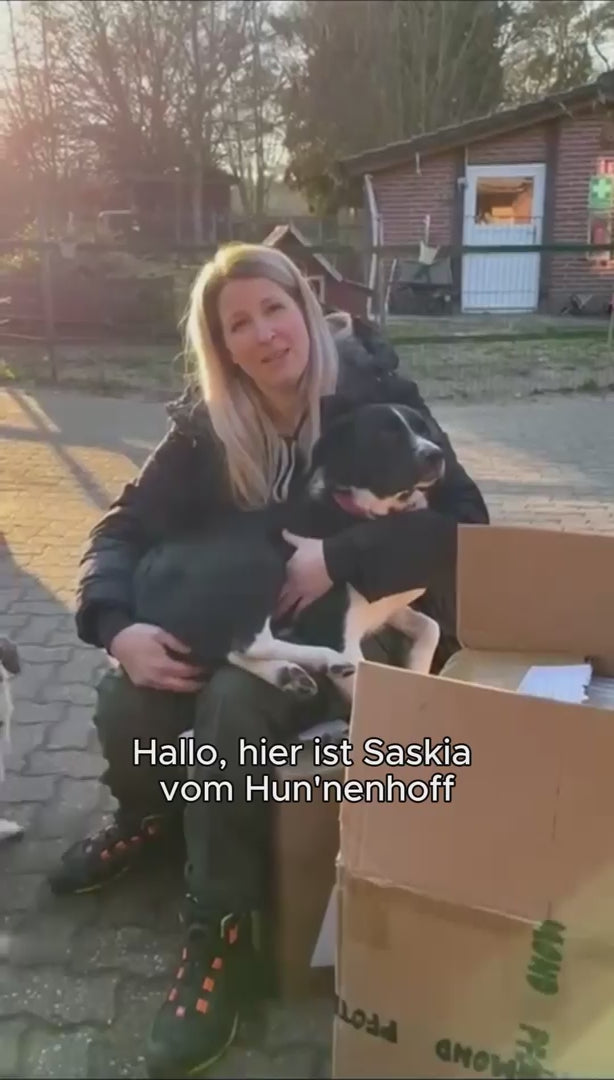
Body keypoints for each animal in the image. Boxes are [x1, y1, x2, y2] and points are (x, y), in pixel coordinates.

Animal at [133, 402, 445, 702]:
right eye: (386, 434)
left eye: (424, 429)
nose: (437, 455)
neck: (367, 513)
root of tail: (146, 571)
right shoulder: (337, 632)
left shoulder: (385, 609)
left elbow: (431, 627)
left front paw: (418, 669)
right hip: (260, 561)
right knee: (250, 642)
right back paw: (324, 660)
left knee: (233, 649)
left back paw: (287, 674)